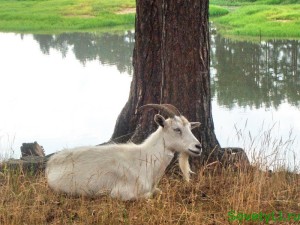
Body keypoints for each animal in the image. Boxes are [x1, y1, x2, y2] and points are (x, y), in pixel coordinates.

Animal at [46, 103, 202, 200]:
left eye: (190, 127)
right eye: (177, 129)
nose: (198, 146)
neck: (145, 158)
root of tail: (50, 163)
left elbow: (158, 191)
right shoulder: (123, 193)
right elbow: (149, 195)